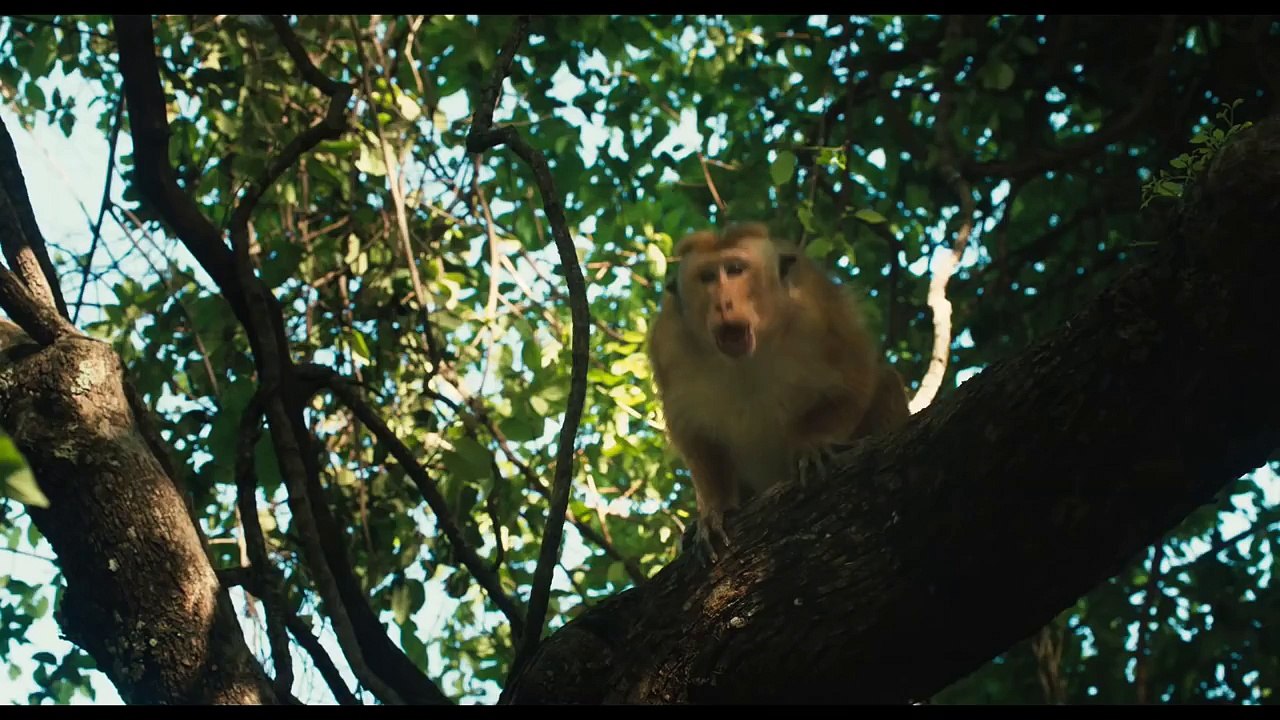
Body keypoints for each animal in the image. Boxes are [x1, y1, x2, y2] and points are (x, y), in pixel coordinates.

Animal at [646, 222, 910, 562]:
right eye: (707, 277)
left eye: (735, 270)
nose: (723, 303)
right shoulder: (669, 344)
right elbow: (694, 434)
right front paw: (714, 510)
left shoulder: (818, 308)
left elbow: (856, 376)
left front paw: (812, 444)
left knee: (886, 381)